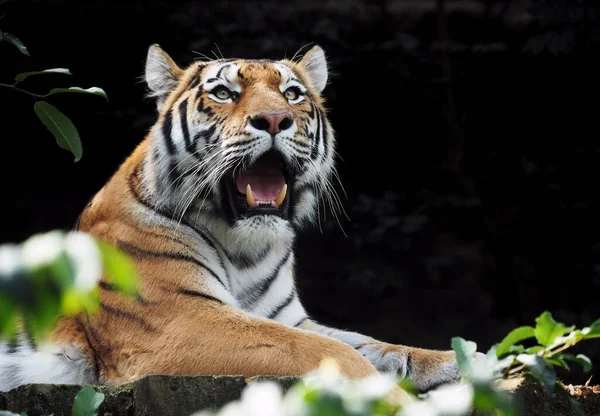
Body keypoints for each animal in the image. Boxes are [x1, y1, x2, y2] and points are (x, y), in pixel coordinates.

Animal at [0, 43, 460, 394]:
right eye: (223, 93)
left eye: (293, 93)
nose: (274, 119)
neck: (245, 248)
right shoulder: (182, 321)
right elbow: (324, 351)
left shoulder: (288, 318)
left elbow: (377, 344)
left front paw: (460, 361)